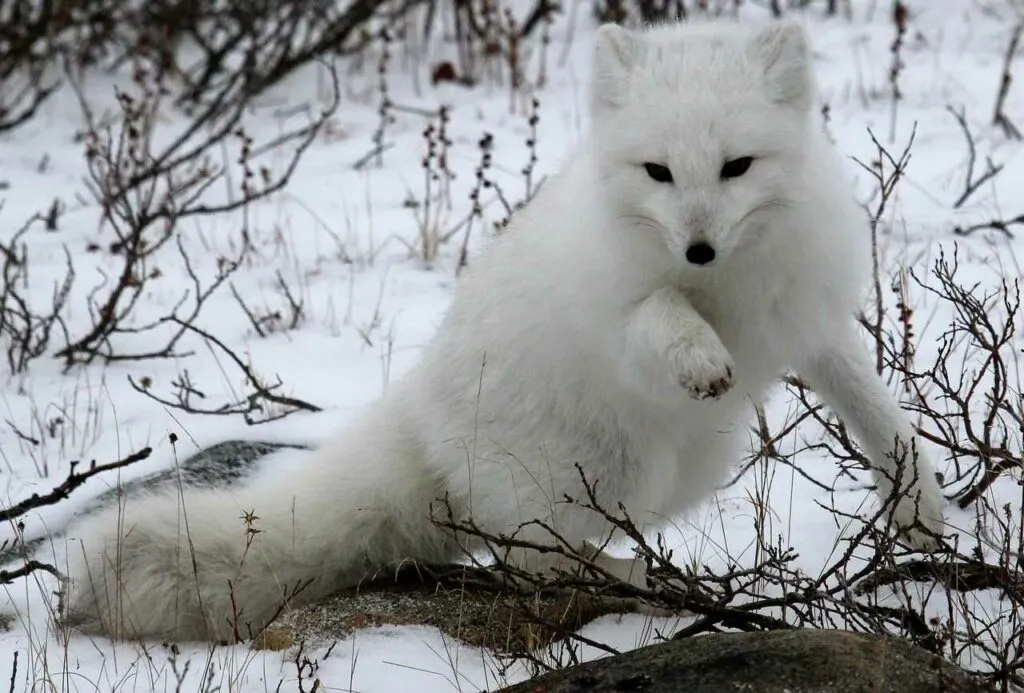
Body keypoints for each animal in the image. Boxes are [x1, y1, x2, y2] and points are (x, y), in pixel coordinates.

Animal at [61, 17, 942, 642]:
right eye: (658, 172)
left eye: (737, 167)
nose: (698, 246)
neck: (725, 285)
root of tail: (419, 407)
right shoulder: (625, 320)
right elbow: (657, 314)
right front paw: (698, 355)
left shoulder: (806, 322)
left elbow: (876, 410)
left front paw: (922, 511)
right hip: (615, 466)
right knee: (526, 554)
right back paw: (630, 575)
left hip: (687, 463)